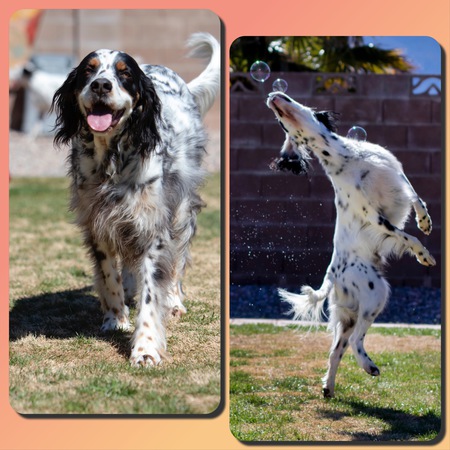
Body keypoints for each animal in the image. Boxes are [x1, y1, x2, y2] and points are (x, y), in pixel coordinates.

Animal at [51, 33, 221, 368]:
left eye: (124, 73)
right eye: (88, 70)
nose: (101, 85)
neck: (111, 160)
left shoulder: (154, 227)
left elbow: (151, 295)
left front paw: (145, 349)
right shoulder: (98, 222)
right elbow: (109, 275)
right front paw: (116, 319)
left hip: (181, 210)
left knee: (177, 260)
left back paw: (174, 300)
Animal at [266, 92, 434, 398]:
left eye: (288, 99)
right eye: (281, 125)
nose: (272, 95)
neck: (350, 158)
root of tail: (332, 274)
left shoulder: (397, 175)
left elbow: (417, 199)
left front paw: (425, 222)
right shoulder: (374, 217)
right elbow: (408, 237)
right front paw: (423, 255)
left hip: (348, 317)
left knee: (335, 351)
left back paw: (329, 387)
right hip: (376, 295)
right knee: (357, 341)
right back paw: (369, 367)